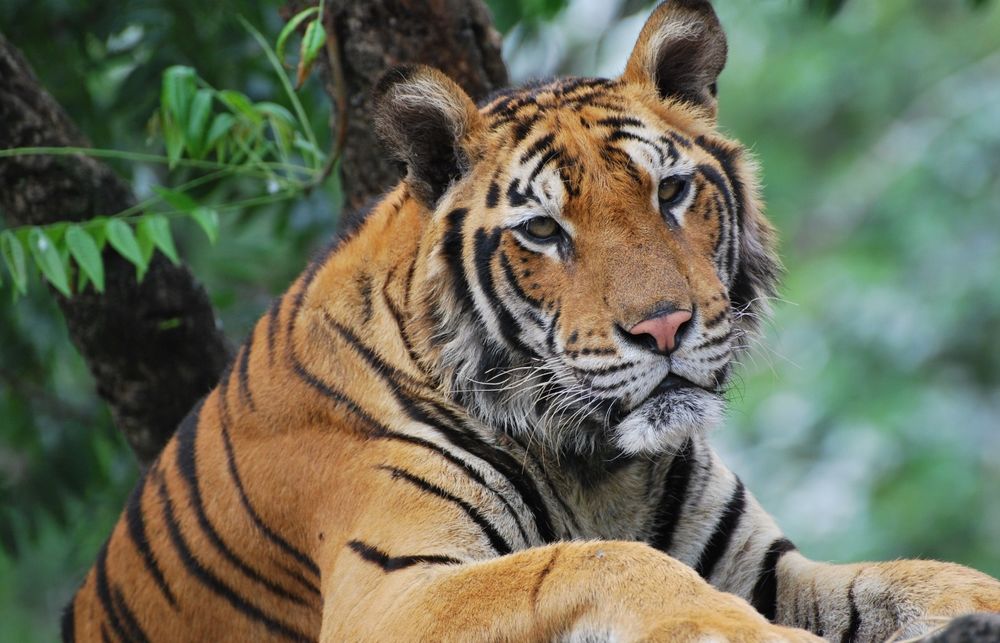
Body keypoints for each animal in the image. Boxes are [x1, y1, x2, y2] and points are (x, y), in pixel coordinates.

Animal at [63, 1, 1000, 641]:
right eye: (545, 231)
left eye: (671, 191)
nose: (665, 329)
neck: (602, 467)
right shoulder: (390, 594)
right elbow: (597, 558)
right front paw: (749, 633)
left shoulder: (764, 563)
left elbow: (911, 576)